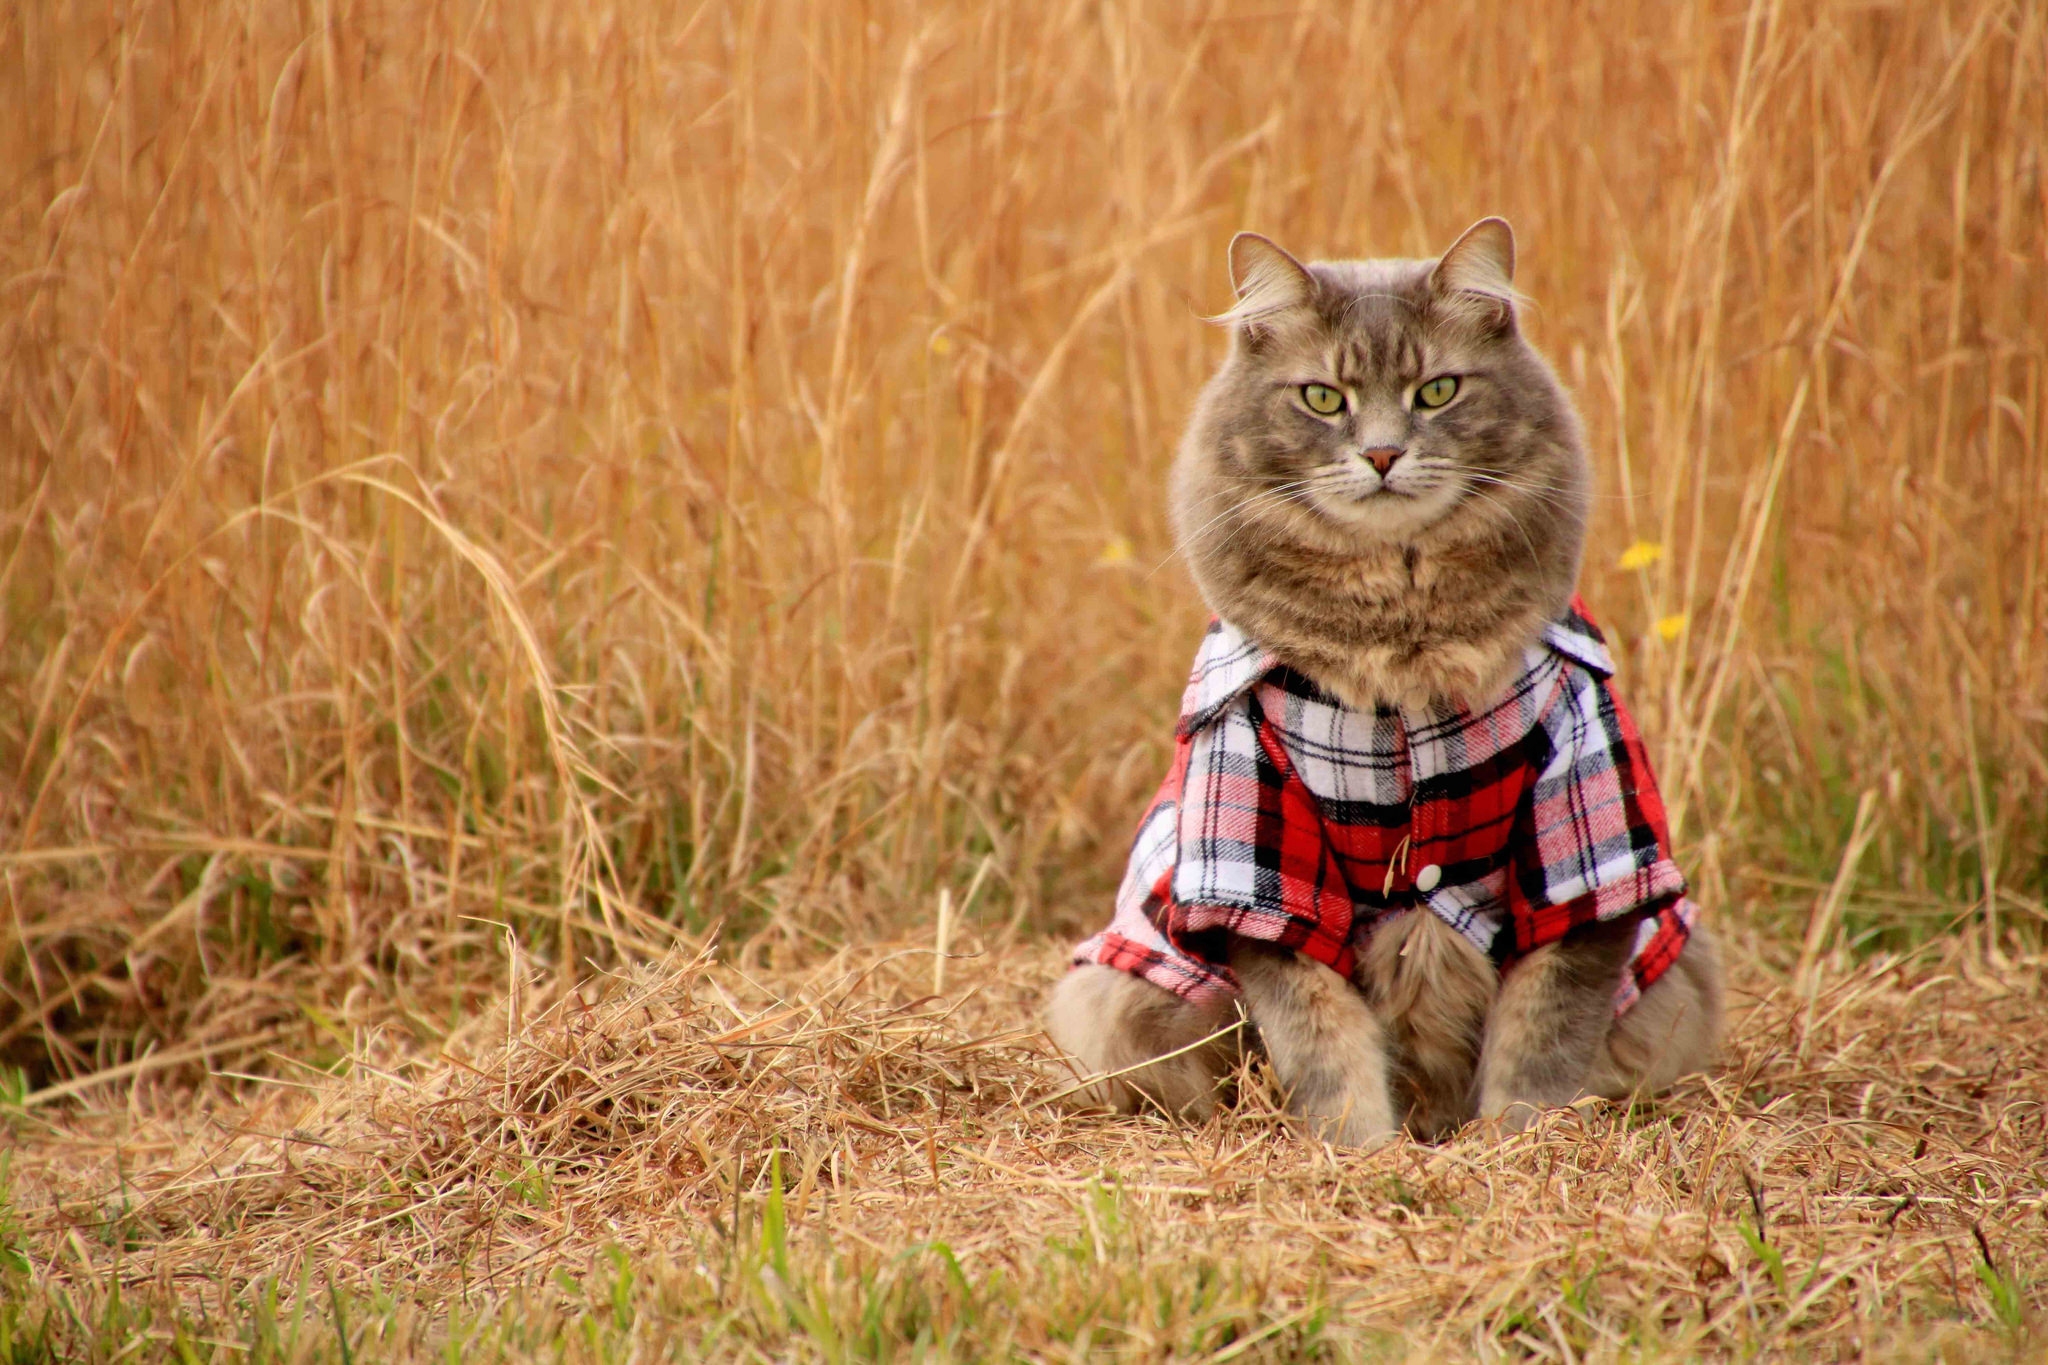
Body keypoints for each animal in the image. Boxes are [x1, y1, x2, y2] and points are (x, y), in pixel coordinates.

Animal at [1048, 222, 1720, 1146]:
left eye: (1436, 391)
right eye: (1322, 398)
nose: (1381, 452)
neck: (1402, 650)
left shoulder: (1587, 839)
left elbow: (1540, 1038)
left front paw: (1516, 1143)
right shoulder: (1259, 863)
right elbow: (1325, 1043)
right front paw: (1359, 1149)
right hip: (1125, 994)